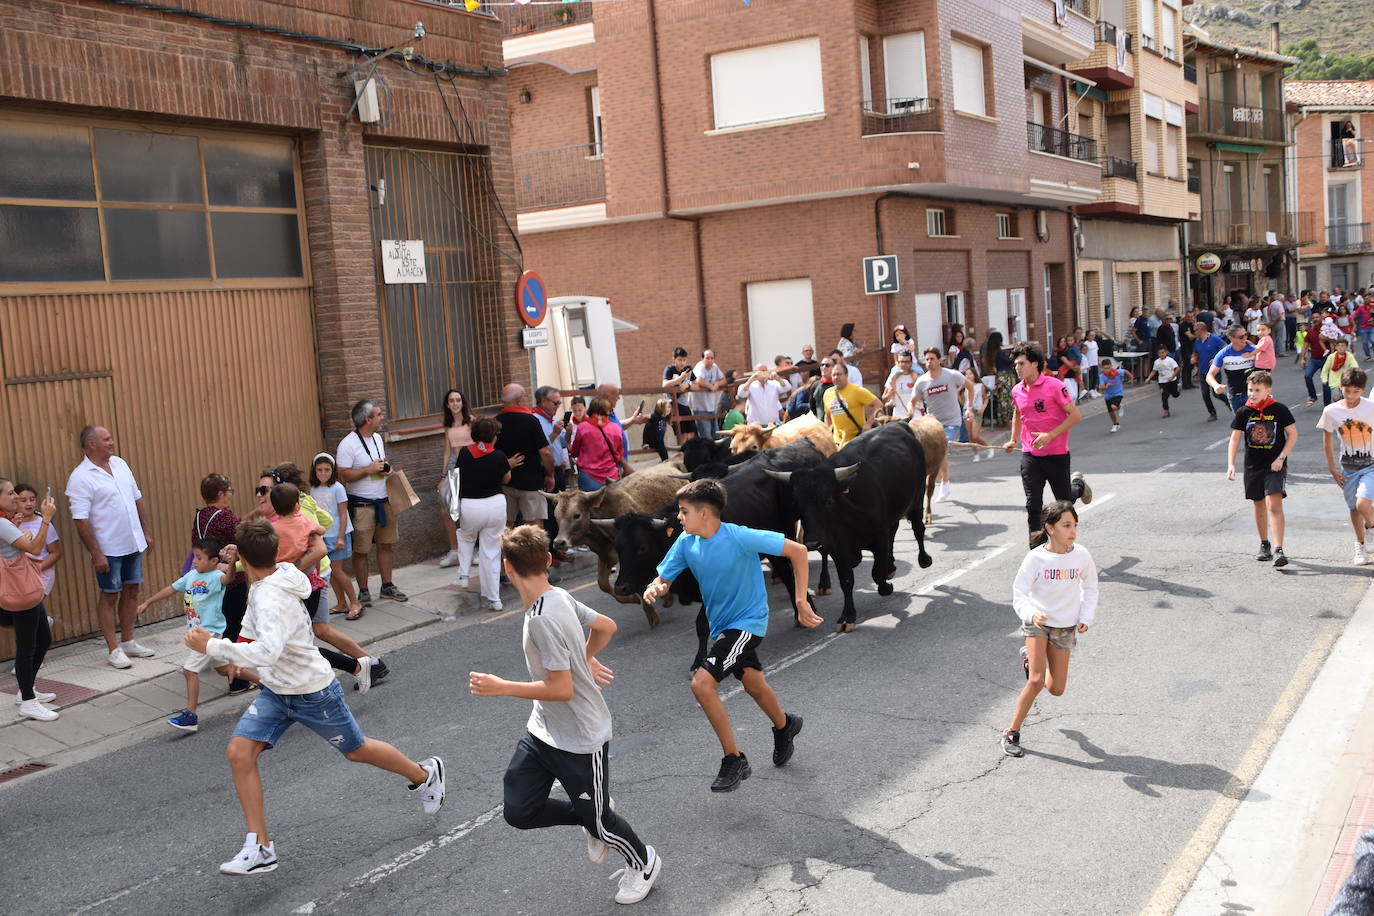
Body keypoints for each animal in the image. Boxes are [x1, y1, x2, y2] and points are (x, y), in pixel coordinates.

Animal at [546, 461, 687, 626]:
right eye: (556, 516)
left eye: (577, 515)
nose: (559, 543)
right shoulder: (607, 555)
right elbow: (603, 583)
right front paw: (632, 599)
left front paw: (652, 612)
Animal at [763, 422, 934, 631]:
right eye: (797, 504)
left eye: (828, 501)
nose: (811, 543)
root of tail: (898, 424)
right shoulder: (837, 547)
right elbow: (846, 580)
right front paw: (847, 616)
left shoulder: (879, 535)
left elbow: (876, 573)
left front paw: (886, 586)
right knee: (894, 530)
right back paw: (891, 566)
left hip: (917, 497)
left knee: (918, 528)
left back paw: (923, 559)